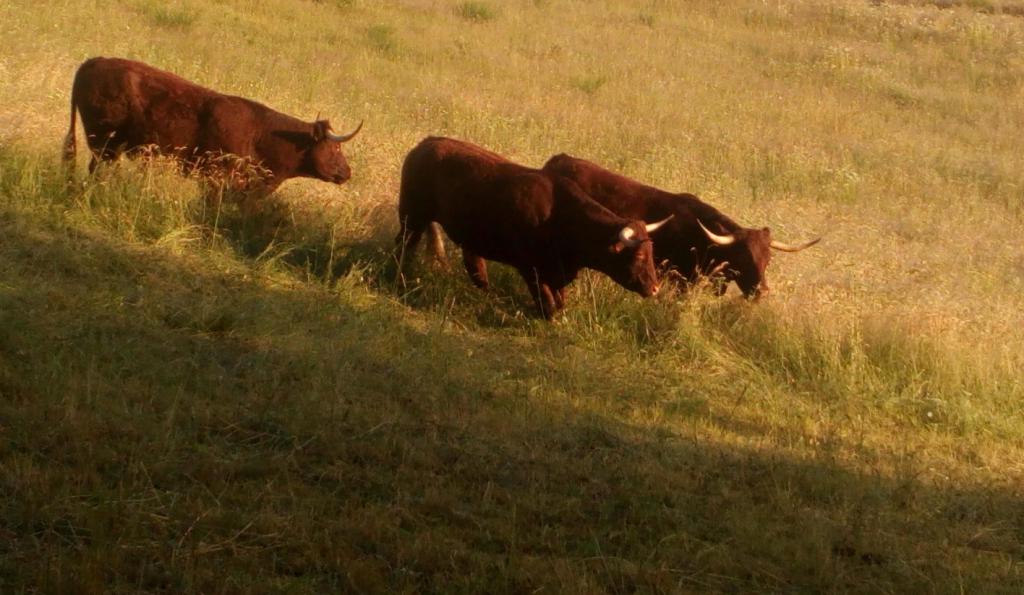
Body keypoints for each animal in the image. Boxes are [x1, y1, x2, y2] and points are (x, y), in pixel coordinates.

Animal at [393, 136, 671, 317]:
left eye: (652, 253)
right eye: (639, 255)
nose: (655, 288)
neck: (560, 214)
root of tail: (427, 143)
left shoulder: (556, 272)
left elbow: (558, 303)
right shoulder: (530, 268)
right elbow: (548, 306)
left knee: (473, 263)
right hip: (411, 216)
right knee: (404, 246)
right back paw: (398, 278)